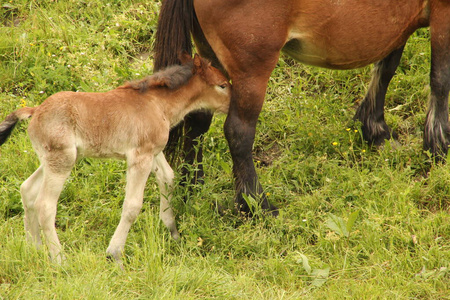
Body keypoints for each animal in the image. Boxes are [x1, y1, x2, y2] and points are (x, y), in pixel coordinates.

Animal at [0, 54, 230, 264]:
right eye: (222, 85)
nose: (232, 106)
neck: (157, 104)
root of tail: (36, 110)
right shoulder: (140, 157)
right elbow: (132, 205)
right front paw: (115, 254)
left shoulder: (154, 152)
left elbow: (167, 178)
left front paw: (173, 233)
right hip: (61, 161)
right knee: (45, 205)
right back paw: (59, 258)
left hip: (53, 160)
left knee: (27, 189)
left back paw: (35, 248)